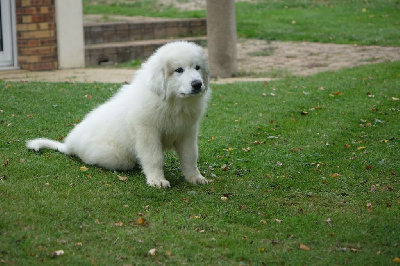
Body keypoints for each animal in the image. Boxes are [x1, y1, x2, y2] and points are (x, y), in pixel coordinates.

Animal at [26, 41, 211, 187]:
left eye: (197, 67)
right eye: (179, 70)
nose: (197, 84)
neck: (173, 102)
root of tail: (70, 144)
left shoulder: (187, 131)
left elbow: (190, 156)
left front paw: (195, 178)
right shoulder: (147, 132)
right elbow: (154, 157)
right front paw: (157, 180)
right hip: (118, 157)